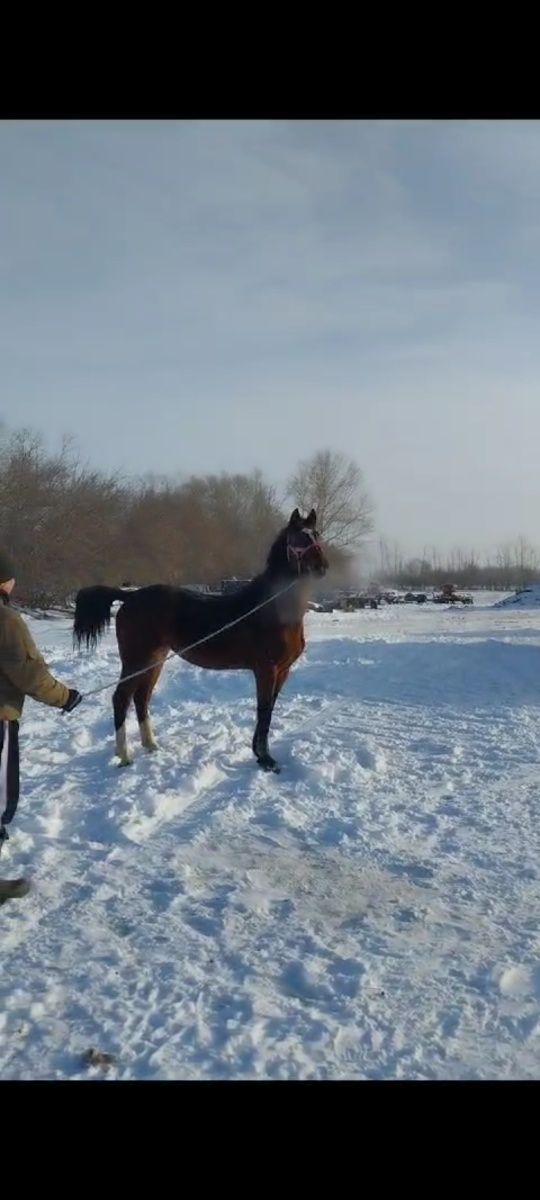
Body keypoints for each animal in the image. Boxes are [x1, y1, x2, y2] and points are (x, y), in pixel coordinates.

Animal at [73, 508, 326, 772]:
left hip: (154, 660)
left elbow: (269, 710)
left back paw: (151, 745)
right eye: (298, 538)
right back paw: (124, 756)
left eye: (317, 535)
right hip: (136, 661)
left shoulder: (283, 670)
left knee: (141, 698)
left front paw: (259, 754)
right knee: (121, 699)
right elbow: (264, 711)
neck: (274, 610)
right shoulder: (267, 670)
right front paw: (266, 759)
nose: (322, 567)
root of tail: (128, 596)